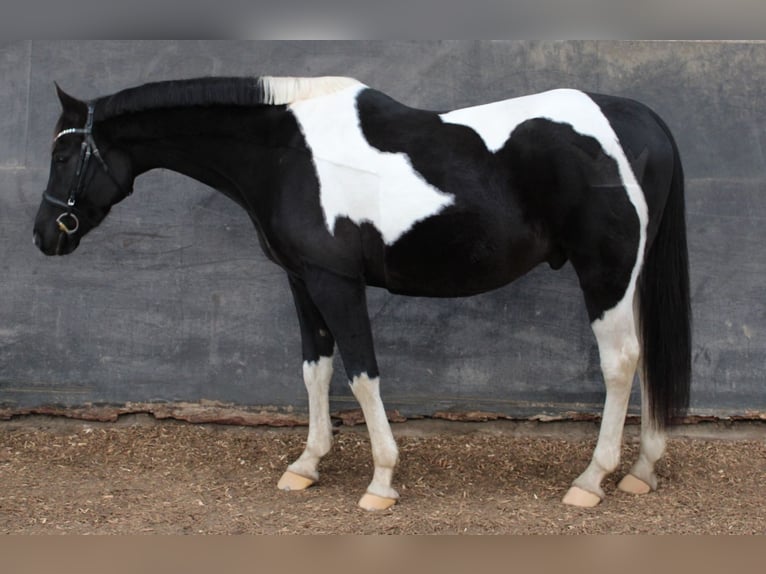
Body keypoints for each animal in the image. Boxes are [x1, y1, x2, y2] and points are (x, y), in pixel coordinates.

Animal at [30, 76, 692, 512]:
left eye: (63, 153)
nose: (44, 235)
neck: (289, 153)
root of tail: (639, 121)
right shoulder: (303, 280)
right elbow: (315, 370)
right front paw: (306, 465)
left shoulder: (336, 282)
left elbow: (362, 374)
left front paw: (380, 481)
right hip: (630, 277)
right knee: (647, 359)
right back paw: (641, 471)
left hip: (605, 272)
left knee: (621, 362)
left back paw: (591, 480)